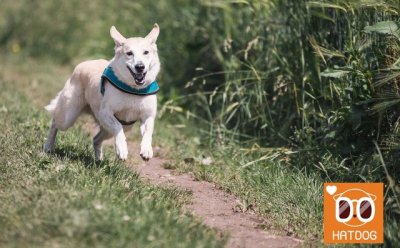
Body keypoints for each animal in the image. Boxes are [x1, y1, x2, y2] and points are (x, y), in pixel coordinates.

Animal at [44, 24, 161, 161]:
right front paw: (122, 149)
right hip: (68, 116)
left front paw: (146, 150)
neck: (133, 89)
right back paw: (48, 147)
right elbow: (117, 127)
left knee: (96, 139)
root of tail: (84, 63)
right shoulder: (105, 112)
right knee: (55, 123)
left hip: (118, 127)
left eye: (146, 52)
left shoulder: (148, 116)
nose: (140, 67)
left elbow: (148, 132)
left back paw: (99, 160)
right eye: (129, 53)